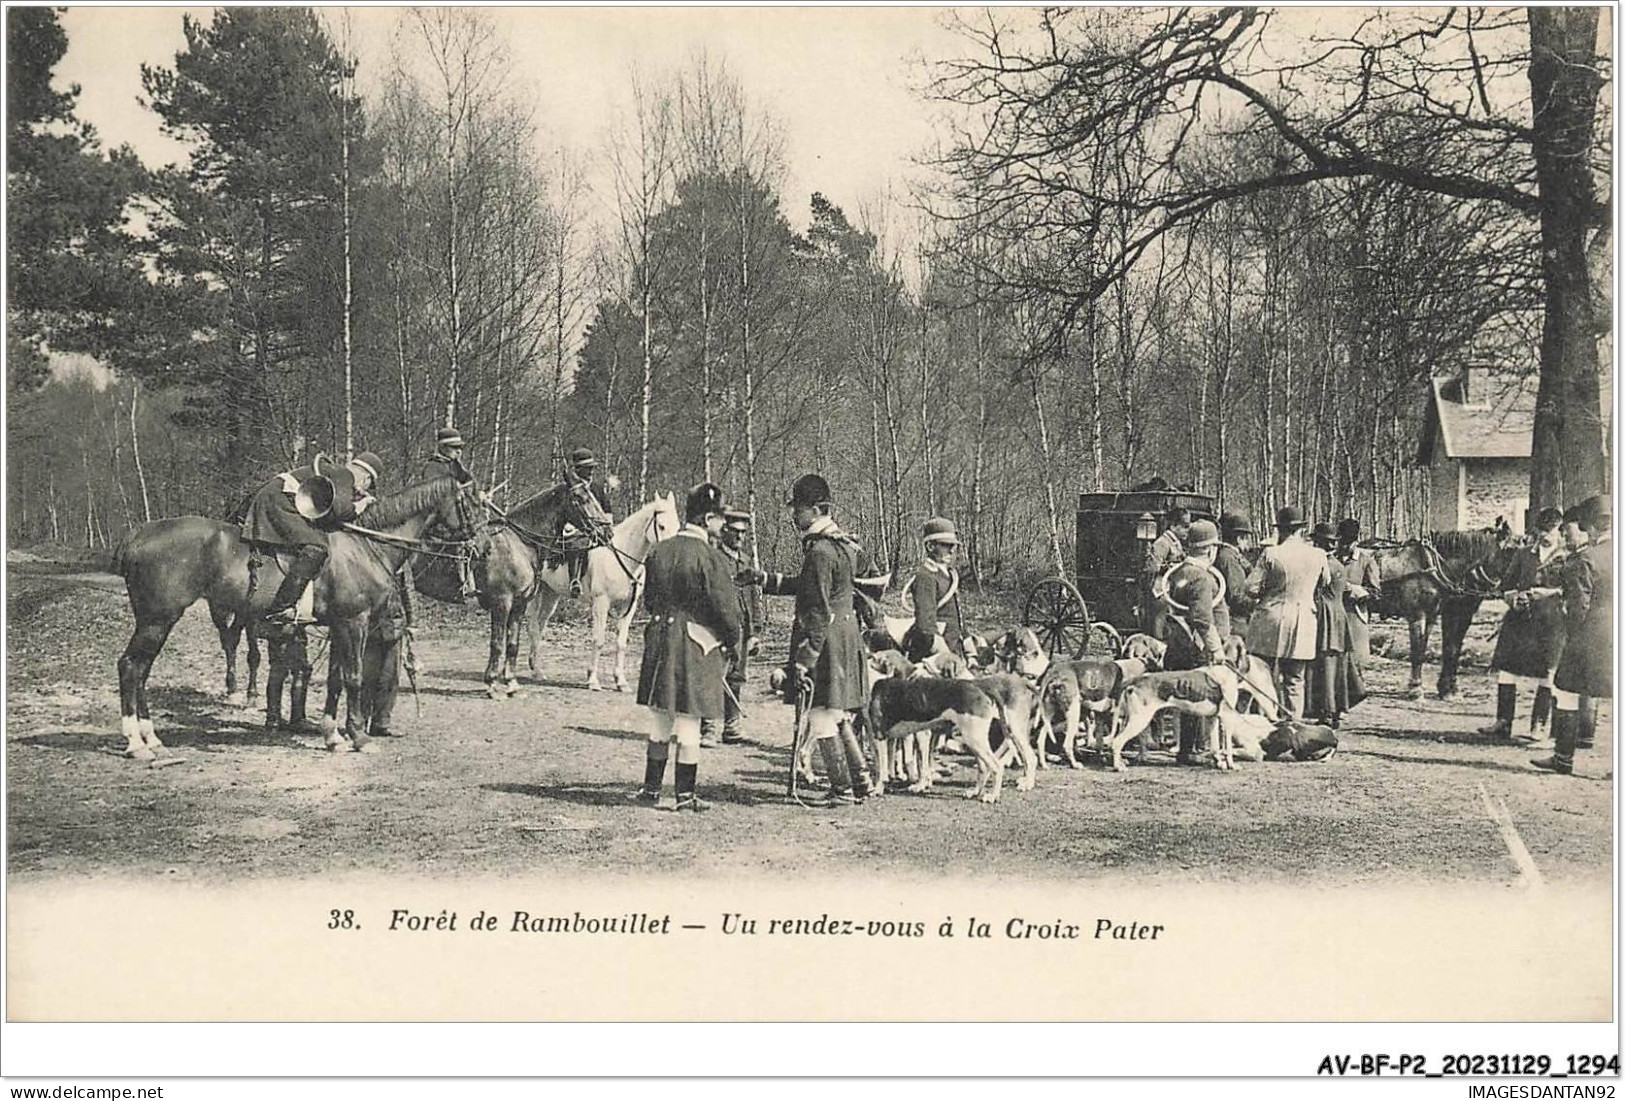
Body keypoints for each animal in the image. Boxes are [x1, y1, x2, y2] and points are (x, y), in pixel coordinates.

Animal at [109, 477, 471, 763]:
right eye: (471, 502)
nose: (474, 542)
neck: (365, 546)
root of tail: (140, 533)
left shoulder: (338, 625)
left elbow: (336, 680)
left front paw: (333, 736)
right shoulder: (354, 622)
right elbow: (354, 678)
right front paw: (358, 737)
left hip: (157, 621)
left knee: (141, 671)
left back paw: (151, 737)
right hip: (157, 619)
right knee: (130, 667)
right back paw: (136, 743)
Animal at [526, 496, 679, 695]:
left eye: (677, 526)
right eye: (661, 526)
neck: (621, 556)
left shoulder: (628, 607)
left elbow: (621, 643)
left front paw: (621, 682)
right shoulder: (601, 602)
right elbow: (598, 640)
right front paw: (592, 680)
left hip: (550, 594)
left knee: (540, 624)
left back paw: (535, 666)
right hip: (536, 592)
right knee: (533, 625)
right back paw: (536, 670)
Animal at [1378, 526, 1514, 698]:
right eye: (1511, 549)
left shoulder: (1447, 615)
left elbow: (1451, 649)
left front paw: (1449, 688)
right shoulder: (1419, 615)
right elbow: (1419, 650)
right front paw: (1416, 688)